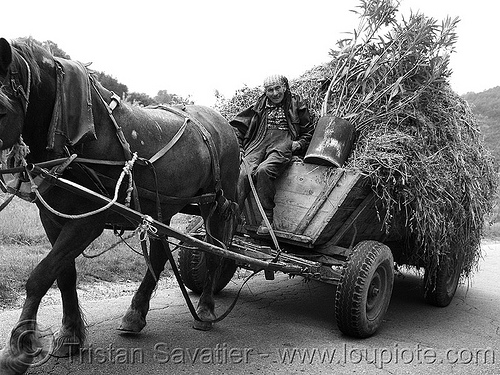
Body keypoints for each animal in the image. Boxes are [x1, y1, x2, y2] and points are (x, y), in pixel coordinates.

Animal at [0, 36, 240, 374]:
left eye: (1, 111)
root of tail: (224, 123)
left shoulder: (88, 222)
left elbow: (40, 276)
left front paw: (18, 347)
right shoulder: (52, 218)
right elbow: (63, 276)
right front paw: (70, 335)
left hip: (216, 204)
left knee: (215, 251)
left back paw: (205, 310)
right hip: (161, 209)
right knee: (159, 256)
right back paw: (135, 315)